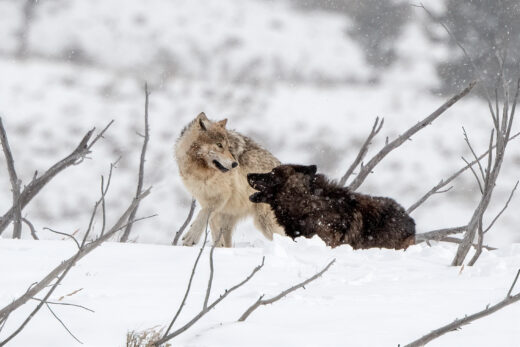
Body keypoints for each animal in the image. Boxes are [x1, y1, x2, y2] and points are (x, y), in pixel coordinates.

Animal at [175, 112, 284, 247]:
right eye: (219, 145)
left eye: (228, 146)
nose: (235, 164)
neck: (201, 172)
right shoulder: (203, 198)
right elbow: (210, 222)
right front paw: (217, 247)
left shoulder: (223, 195)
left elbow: (204, 213)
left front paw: (191, 237)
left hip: (265, 222)